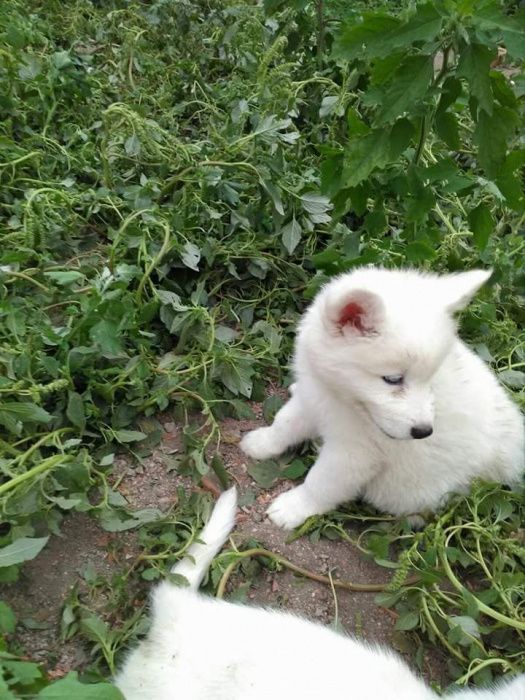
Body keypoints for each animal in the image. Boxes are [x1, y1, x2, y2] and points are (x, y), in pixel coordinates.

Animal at [239, 268, 520, 532]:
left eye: (429, 378)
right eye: (393, 379)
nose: (423, 432)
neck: (345, 400)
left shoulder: (356, 453)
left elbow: (322, 482)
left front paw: (293, 507)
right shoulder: (314, 397)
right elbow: (284, 423)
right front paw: (260, 443)